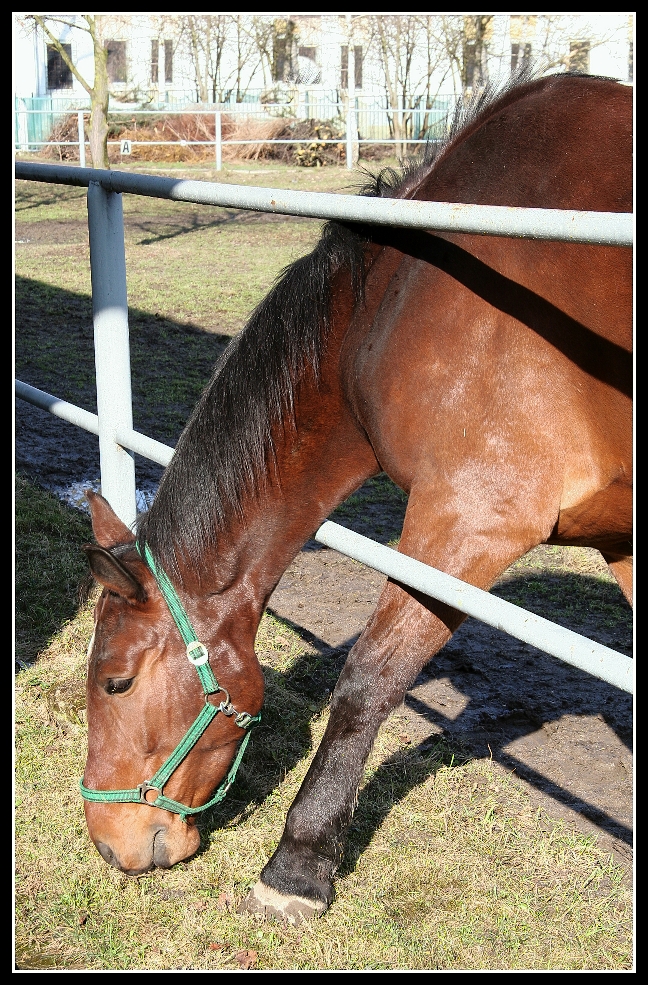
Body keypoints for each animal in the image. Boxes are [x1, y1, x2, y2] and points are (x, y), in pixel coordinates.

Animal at [81, 75, 632, 924]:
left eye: (116, 683)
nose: (109, 842)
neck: (404, 295)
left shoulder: (471, 515)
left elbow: (368, 678)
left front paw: (297, 866)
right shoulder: (620, 535)